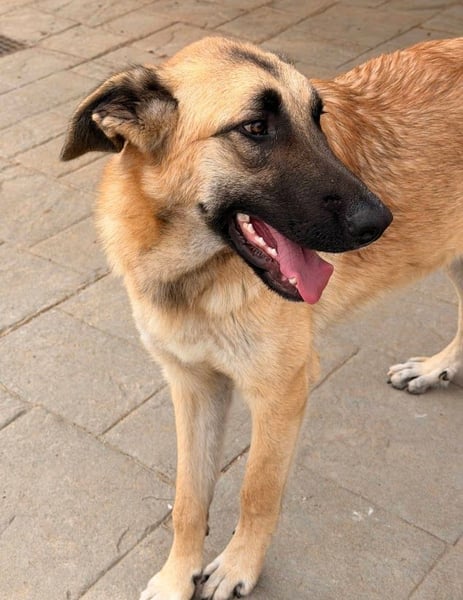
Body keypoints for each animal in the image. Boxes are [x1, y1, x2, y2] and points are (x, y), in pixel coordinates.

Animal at [61, 36, 463, 600]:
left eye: (318, 117)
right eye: (255, 128)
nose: (380, 221)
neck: (193, 269)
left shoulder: (281, 392)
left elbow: (258, 491)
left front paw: (237, 567)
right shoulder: (193, 387)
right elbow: (188, 498)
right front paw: (178, 575)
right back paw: (436, 368)